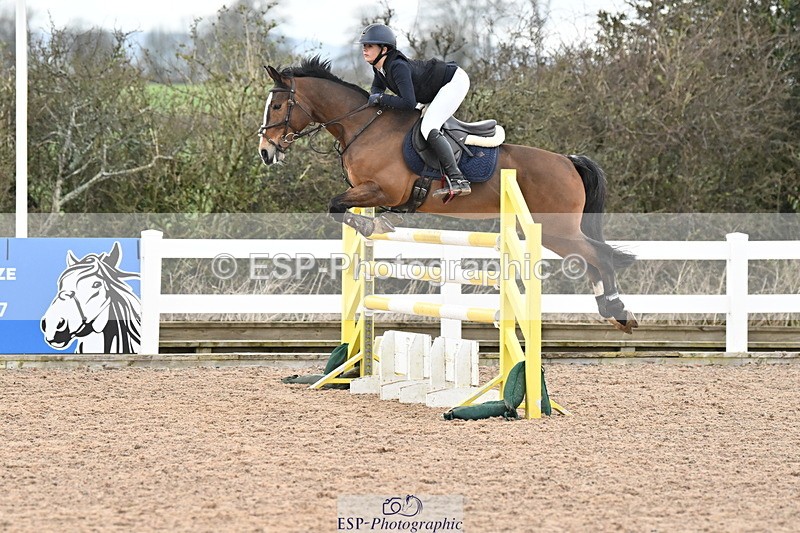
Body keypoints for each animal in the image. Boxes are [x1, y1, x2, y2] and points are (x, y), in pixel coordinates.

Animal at [257, 56, 638, 334]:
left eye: (276, 106)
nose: (265, 151)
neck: (362, 126)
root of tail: (568, 161)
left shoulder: (384, 189)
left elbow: (336, 206)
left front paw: (374, 227)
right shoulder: (367, 191)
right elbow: (341, 207)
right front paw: (380, 225)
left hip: (557, 229)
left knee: (600, 256)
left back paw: (619, 310)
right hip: (557, 232)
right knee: (592, 259)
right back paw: (611, 311)